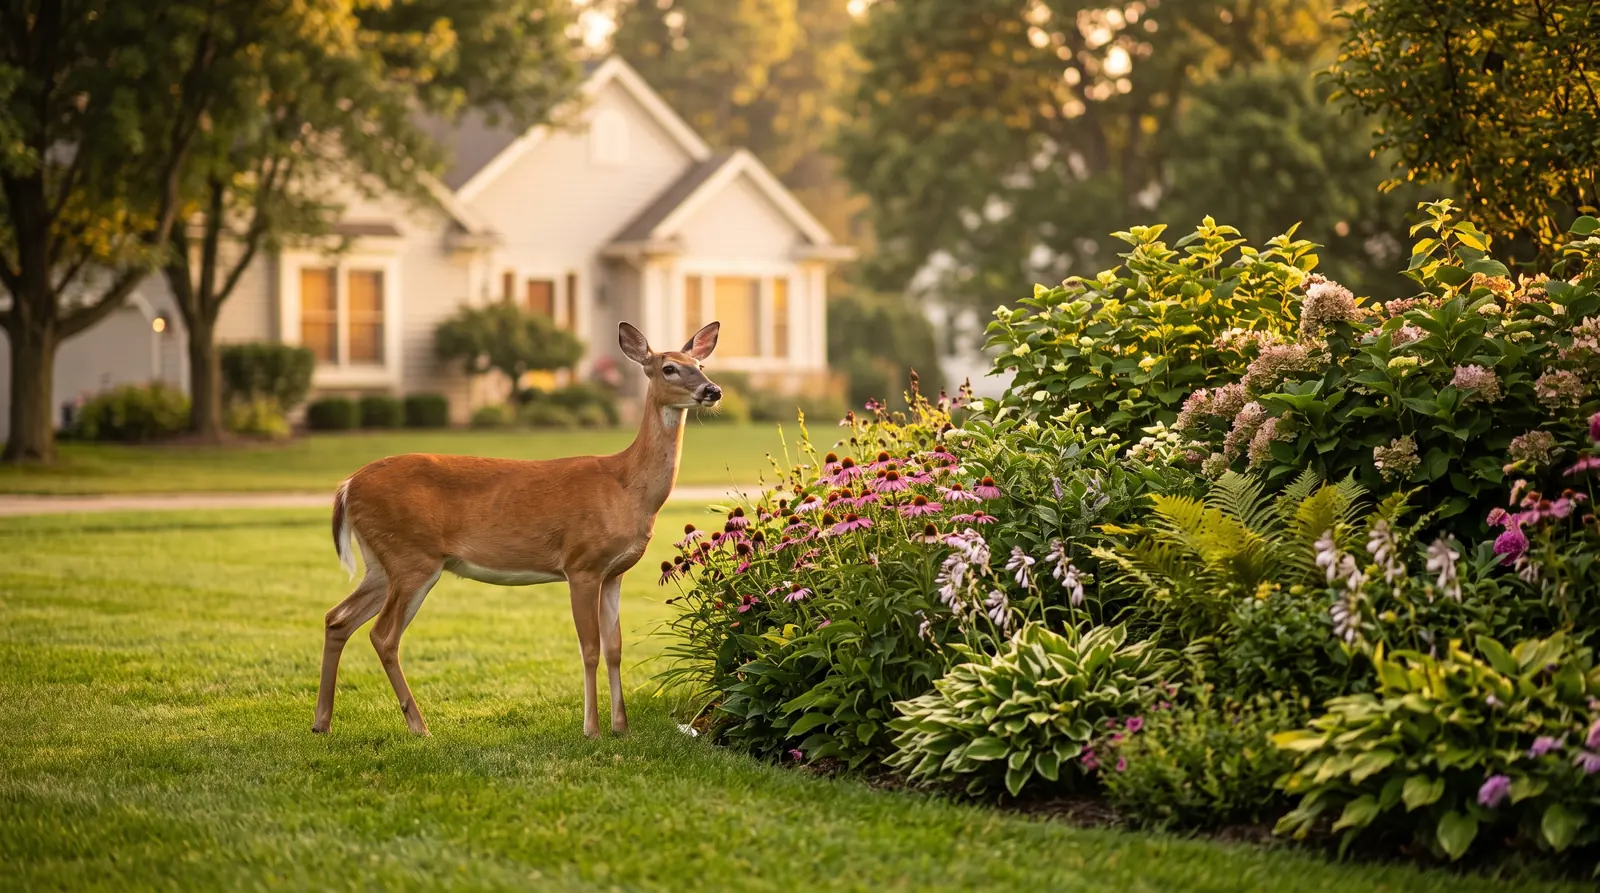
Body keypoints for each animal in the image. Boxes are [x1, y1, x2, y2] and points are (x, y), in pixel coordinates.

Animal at [312, 321, 723, 738]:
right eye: (669, 367)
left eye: (701, 364)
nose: (713, 390)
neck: (626, 486)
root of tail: (347, 485)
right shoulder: (582, 564)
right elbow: (589, 648)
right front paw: (591, 729)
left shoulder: (615, 573)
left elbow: (615, 648)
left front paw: (621, 727)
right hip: (412, 557)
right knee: (383, 635)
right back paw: (418, 726)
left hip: (382, 562)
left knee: (337, 618)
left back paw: (322, 723)